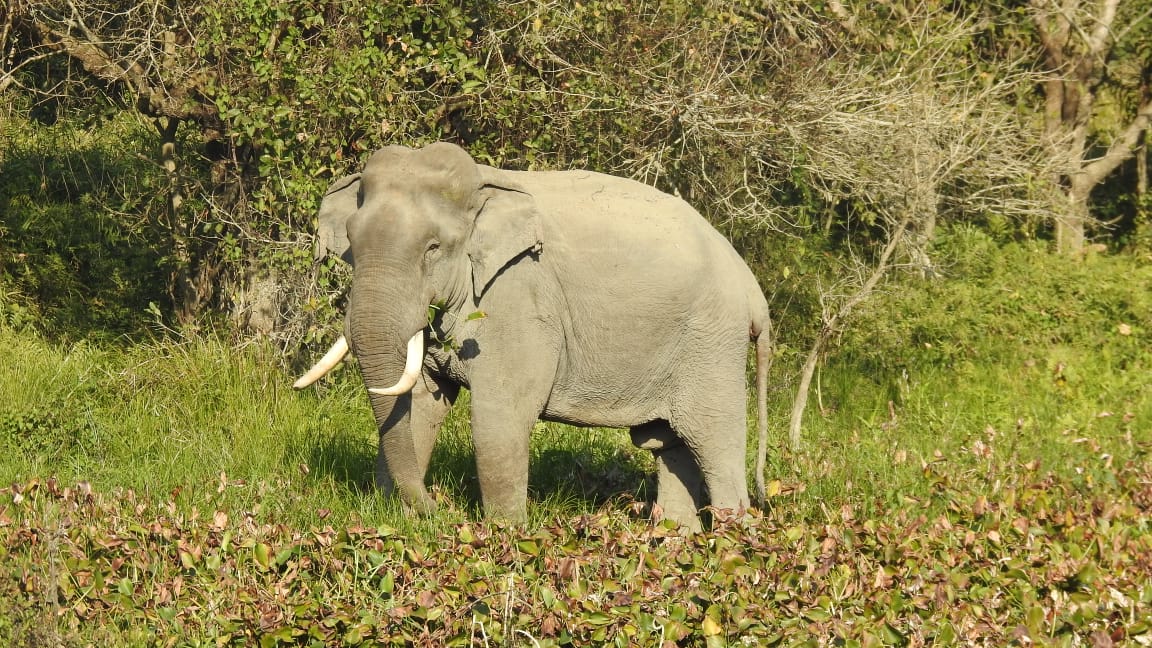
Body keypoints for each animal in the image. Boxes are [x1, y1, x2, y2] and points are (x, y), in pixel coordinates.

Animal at [292, 142, 769, 530]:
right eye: (352, 243)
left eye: (433, 248)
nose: (439, 509)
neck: (485, 188)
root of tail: (751, 287)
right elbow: (424, 404)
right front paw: (396, 519)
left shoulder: (520, 295)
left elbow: (499, 416)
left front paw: (505, 536)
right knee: (670, 445)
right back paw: (674, 542)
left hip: (711, 343)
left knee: (714, 444)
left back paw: (731, 545)